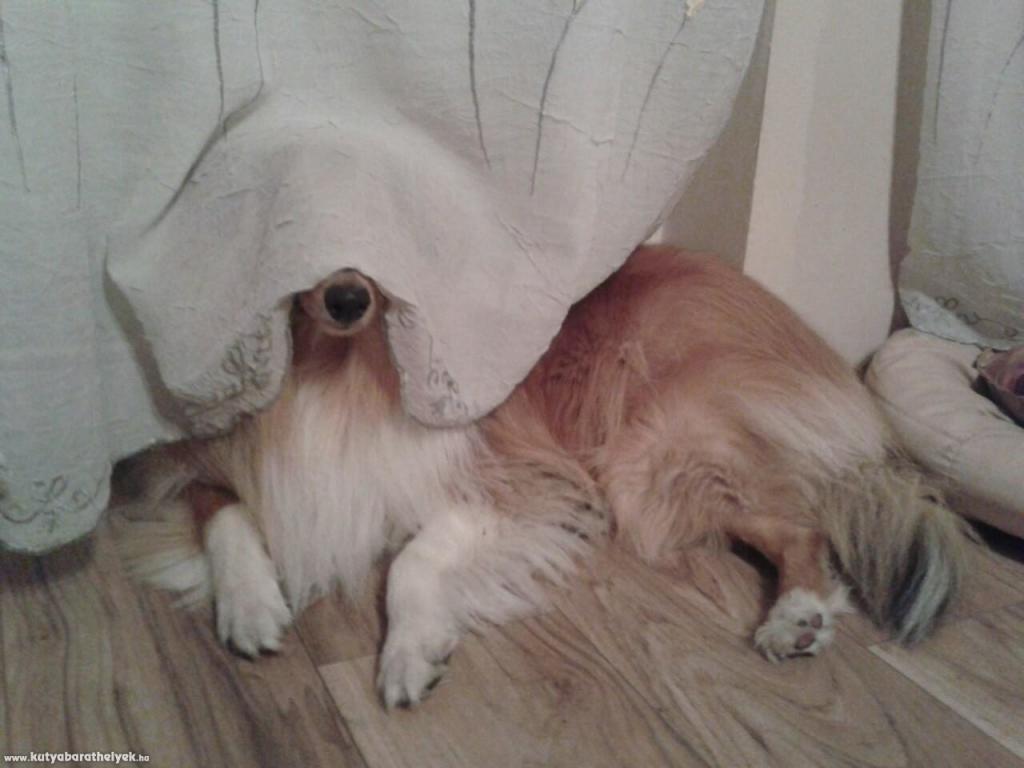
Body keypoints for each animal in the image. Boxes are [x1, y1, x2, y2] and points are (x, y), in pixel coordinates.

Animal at [117, 246, 970, 709]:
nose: (348, 298)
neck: (344, 368)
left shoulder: (516, 482)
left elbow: (413, 559)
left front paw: (410, 655)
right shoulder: (202, 463)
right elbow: (224, 509)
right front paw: (251, 606)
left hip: (650, 452)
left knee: (805, 520)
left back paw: (793, 617)